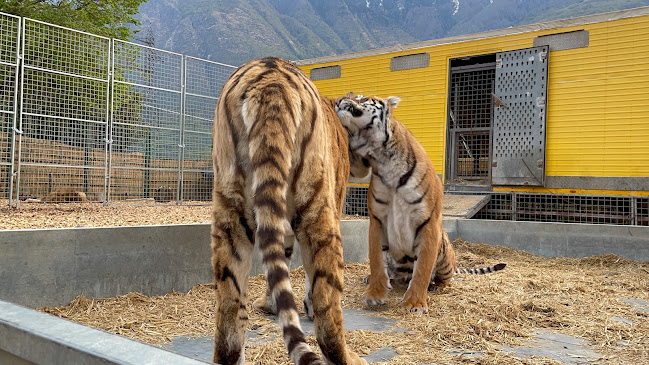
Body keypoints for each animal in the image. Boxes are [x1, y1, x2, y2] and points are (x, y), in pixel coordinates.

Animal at [211, 57, 368, 364]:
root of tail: (272, 85)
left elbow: (278, 264)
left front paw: (269, 304)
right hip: (317, 208)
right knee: (328, 313)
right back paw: (351, 356)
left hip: (230, 213)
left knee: (230, 323)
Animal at [334, 93, 506, 312]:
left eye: (362, 97)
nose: (338, 100)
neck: (381, 157)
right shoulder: (377, 220)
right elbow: (376, 260)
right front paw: (375, 293)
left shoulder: (428, 223)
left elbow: (423, 267)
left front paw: (414, 302)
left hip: (444, 252)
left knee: (444, 278)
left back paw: (436, 286)